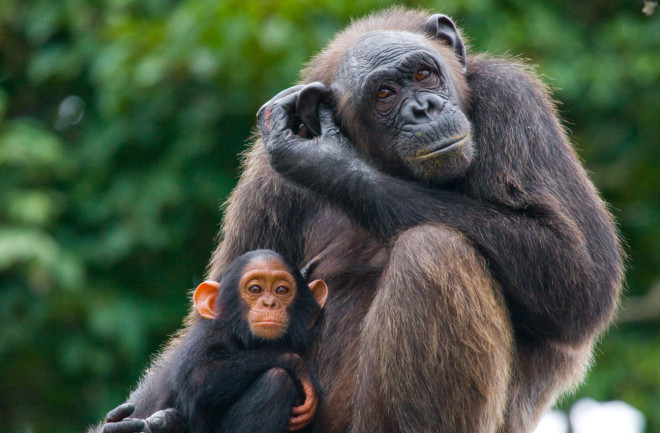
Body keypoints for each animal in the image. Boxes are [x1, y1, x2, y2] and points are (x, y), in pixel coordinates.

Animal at [100, 248, 328, 432]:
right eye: (255, 289)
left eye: (282, 290)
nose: (269, 303)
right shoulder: (207, 337)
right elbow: (201, 377)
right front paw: (299, 366)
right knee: (276, 380)